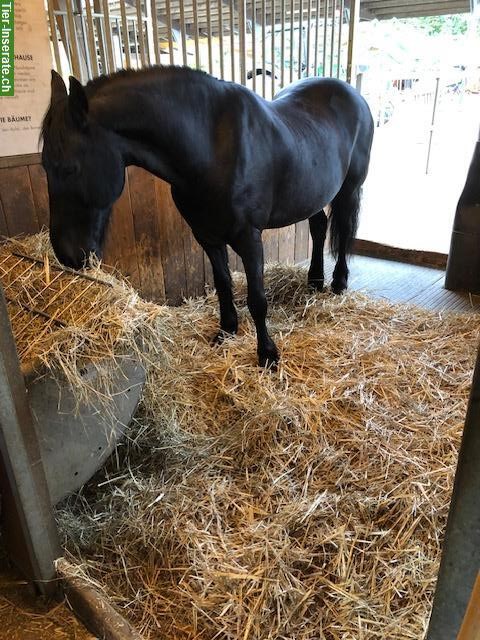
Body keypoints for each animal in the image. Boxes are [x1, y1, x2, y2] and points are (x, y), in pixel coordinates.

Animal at [41, 67, 374, 368]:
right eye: (44, 165)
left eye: (70, 168)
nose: (66, 255)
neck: (213, 149)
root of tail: (353, 94)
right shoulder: (207, 236)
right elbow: (223, 284)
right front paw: (226, 331)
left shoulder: (249, 239)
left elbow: (257, 299)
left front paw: (267, 354)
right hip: (312, 193)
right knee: (319, 227)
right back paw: (315, 280)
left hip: (349, 188)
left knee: (344, 230)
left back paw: (338, 282)